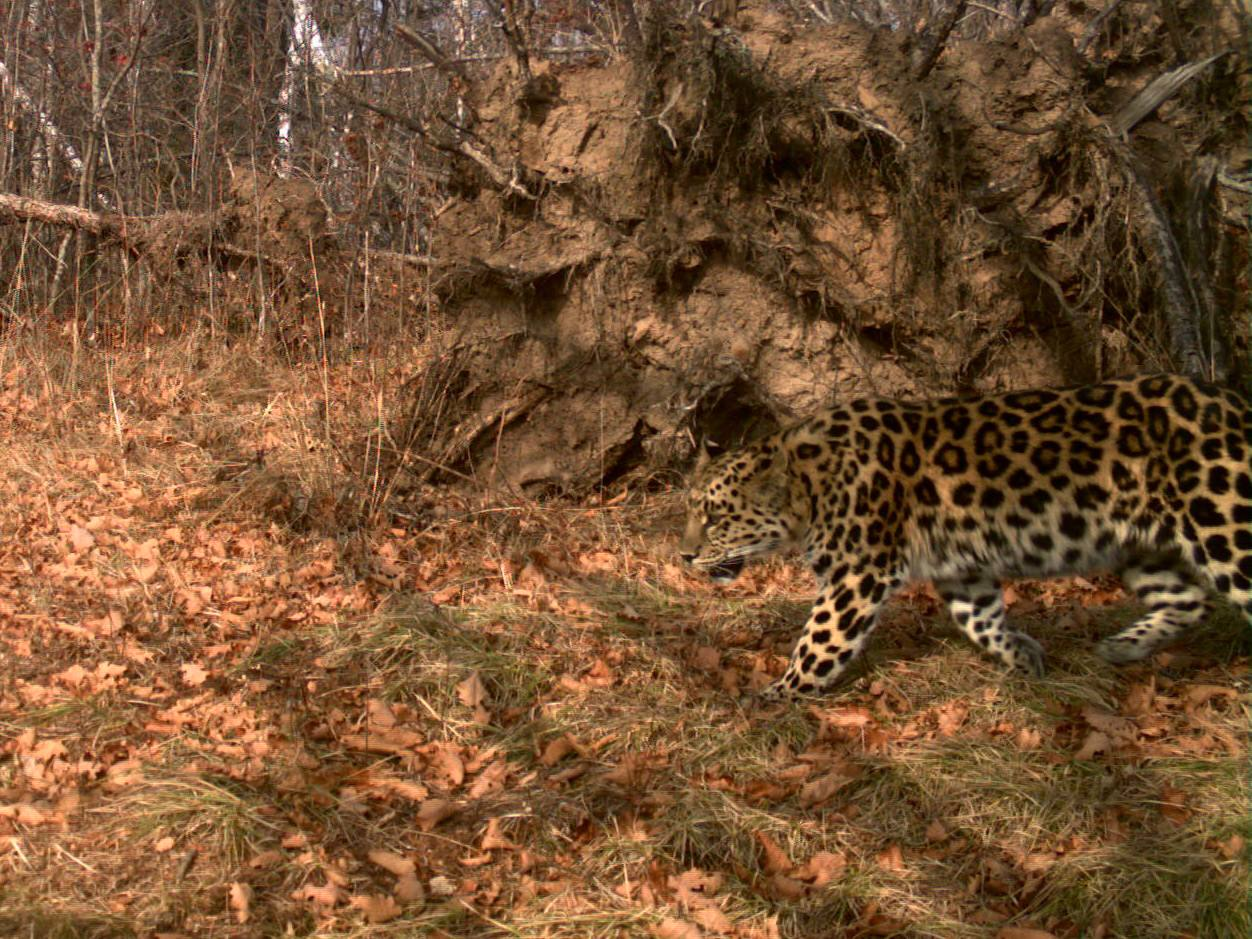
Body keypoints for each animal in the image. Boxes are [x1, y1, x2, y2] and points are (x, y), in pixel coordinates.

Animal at [681, 375, 1252, 706]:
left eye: (715, 517)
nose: (684, 556)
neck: (812, 484)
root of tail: (1232, 402)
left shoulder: (857, 574)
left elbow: (820, 640)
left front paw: (780, 694)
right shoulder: (961, 569)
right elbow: (979, 621)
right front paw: (1023, 657)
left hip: (1225, 527)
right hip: (1139, 545)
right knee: (1190, 599)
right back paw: (1124, 646)